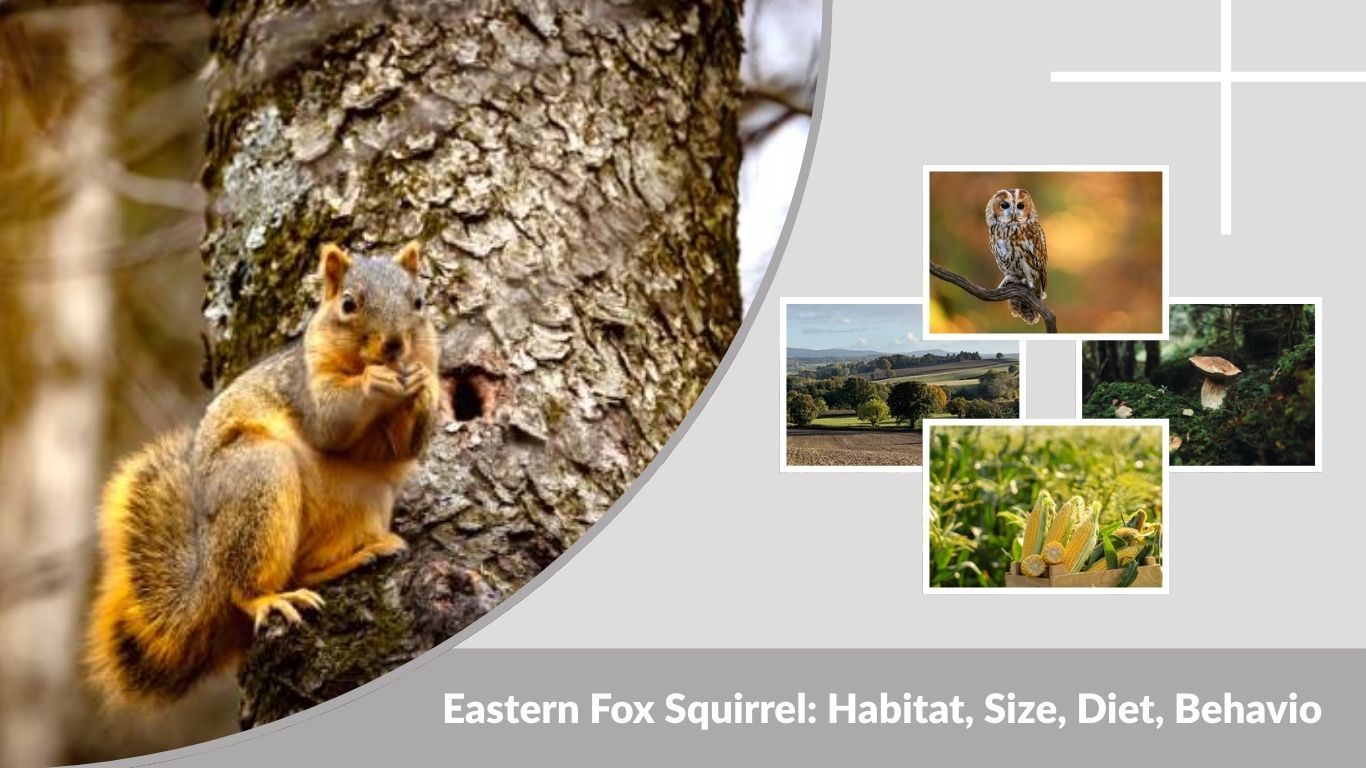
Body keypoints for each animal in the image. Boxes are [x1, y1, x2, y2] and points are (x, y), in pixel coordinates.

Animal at [86, 240, 440, 707]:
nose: (396, 346)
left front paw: (423, 384)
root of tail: (209, 565)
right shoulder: (307, 387)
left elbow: (405, 445)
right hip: (261, 478)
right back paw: (270, 599)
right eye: (348, 304)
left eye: (419, 301)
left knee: (305, 568)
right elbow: (331, 422)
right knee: (244, 588)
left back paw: (361, 555)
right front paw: (373, 381)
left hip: (366, 499)